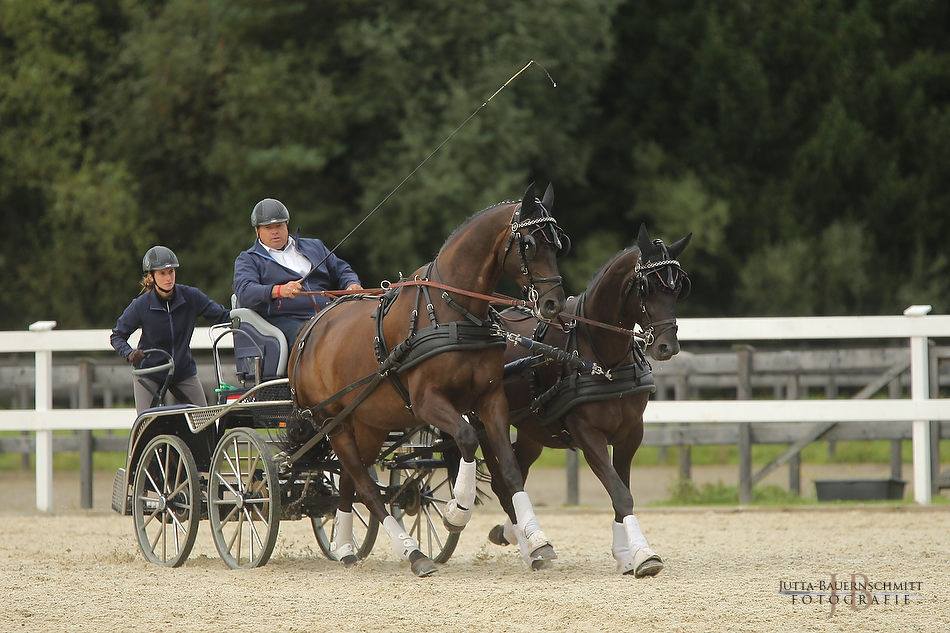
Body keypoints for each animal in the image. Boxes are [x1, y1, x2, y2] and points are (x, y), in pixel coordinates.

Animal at [286, 183, 568, 572]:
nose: (553, 304)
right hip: (334, 422)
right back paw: (413, 552)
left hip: (368, 422)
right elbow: (465, 439)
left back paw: (345, 548)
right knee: (364, 484)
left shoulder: (490, 400)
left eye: (558, 243)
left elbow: (510, 471)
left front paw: (538, 542)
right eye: (528, 244)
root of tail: (309, 329)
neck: (453, 311)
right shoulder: (427, 403)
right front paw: (456, 511)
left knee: (350, 481)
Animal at [484, 225, 692, 576]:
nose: (667, 347)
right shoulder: (587, 435)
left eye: (678, 289)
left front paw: (625, 554)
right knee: (502, 478)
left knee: (518, 470)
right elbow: (620, 493)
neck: (601, 356)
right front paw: (643, 555)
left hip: (532, 429)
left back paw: (517, 535)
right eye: (646, 287)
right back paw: (529, 541)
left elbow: (623, 490)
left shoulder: (630, 433)